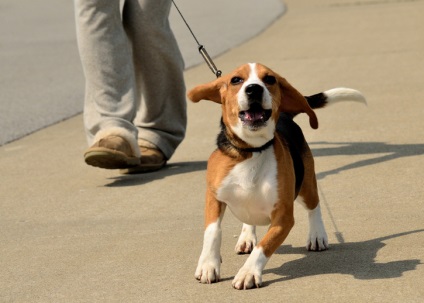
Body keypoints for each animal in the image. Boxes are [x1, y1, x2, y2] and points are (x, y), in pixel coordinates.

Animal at [187, 63, 366, 290]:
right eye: (236, 80)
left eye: (270, 79)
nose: (254, 89)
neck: (251, 151)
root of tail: (285, 116)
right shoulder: (214, 197)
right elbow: (213, 232)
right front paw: (208, 264)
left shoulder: (284, 217)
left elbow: (265, 246)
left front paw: (248, 272)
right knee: (249, 219)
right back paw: (247, 237)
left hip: (306, 185)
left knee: (314, 206)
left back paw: (317, 235)